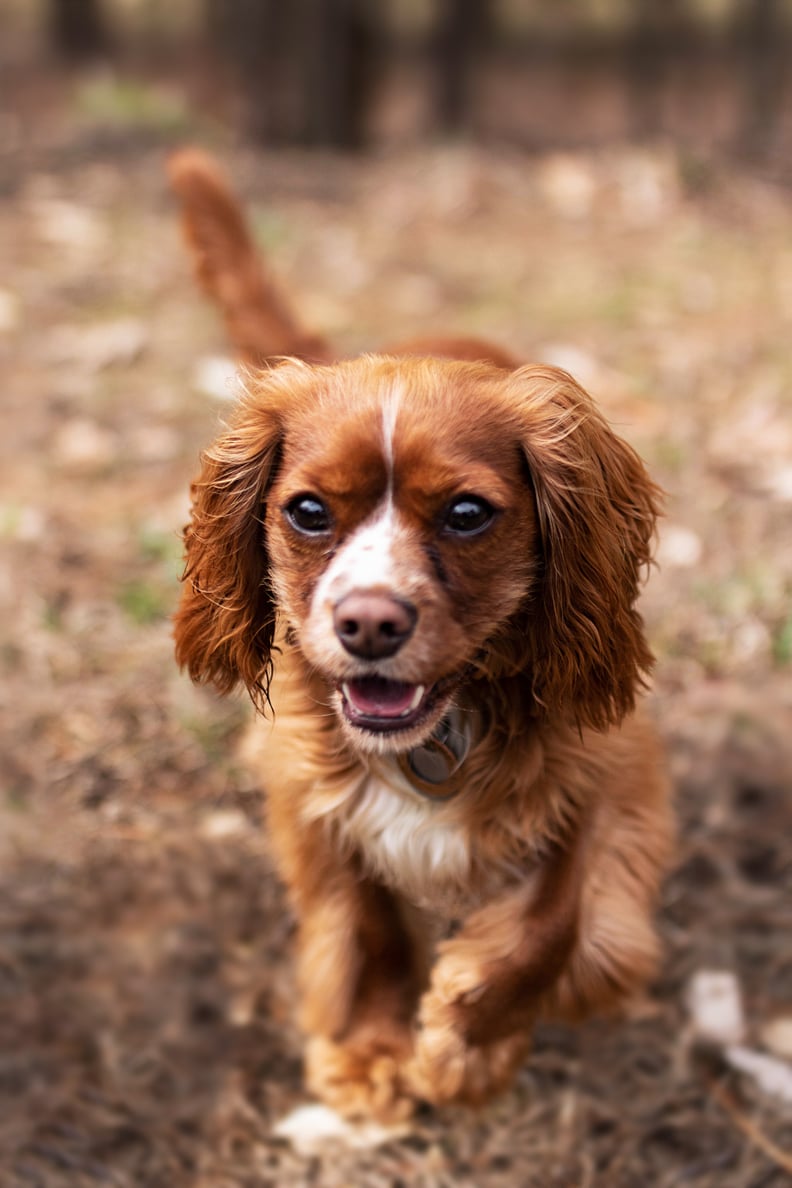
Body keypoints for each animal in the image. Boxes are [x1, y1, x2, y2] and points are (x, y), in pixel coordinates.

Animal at [170, 150, 674, 1121]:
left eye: (468, 513)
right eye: (309, 511)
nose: (369, 621)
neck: (441, 731)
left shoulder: (612, 769)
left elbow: (557, 921)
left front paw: (465, 1043)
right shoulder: (313, 793)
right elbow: (368, 927)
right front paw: (372, 1050)